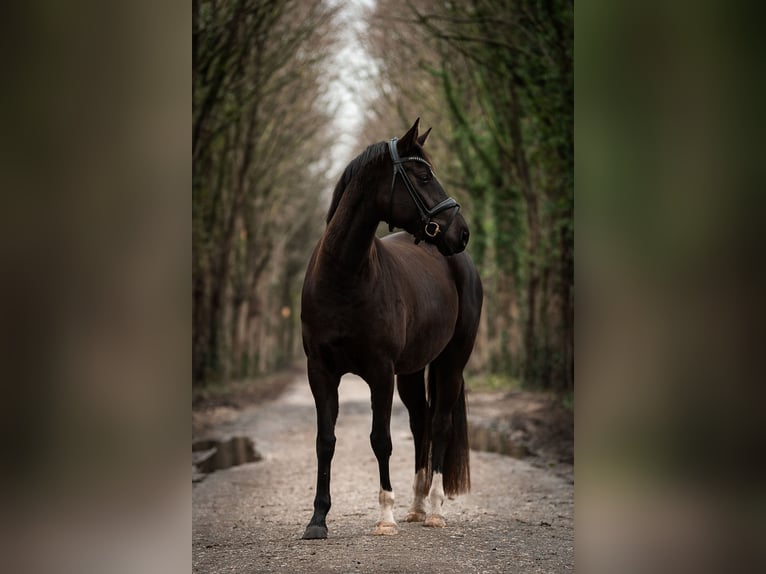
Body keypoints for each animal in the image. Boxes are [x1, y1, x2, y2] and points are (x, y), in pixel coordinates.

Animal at [298, 118, 480, 540]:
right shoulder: (320, 372)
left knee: (441, 424)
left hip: (451, 362)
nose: (461, 232)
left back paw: (434, 510)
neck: (344, 277)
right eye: (423, 175)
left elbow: (380, 440)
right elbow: (325, 440)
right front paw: (317, 519)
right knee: (421, 423)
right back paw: (416, 506)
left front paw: (385, 516)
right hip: (412, 371)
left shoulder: (380, 373)